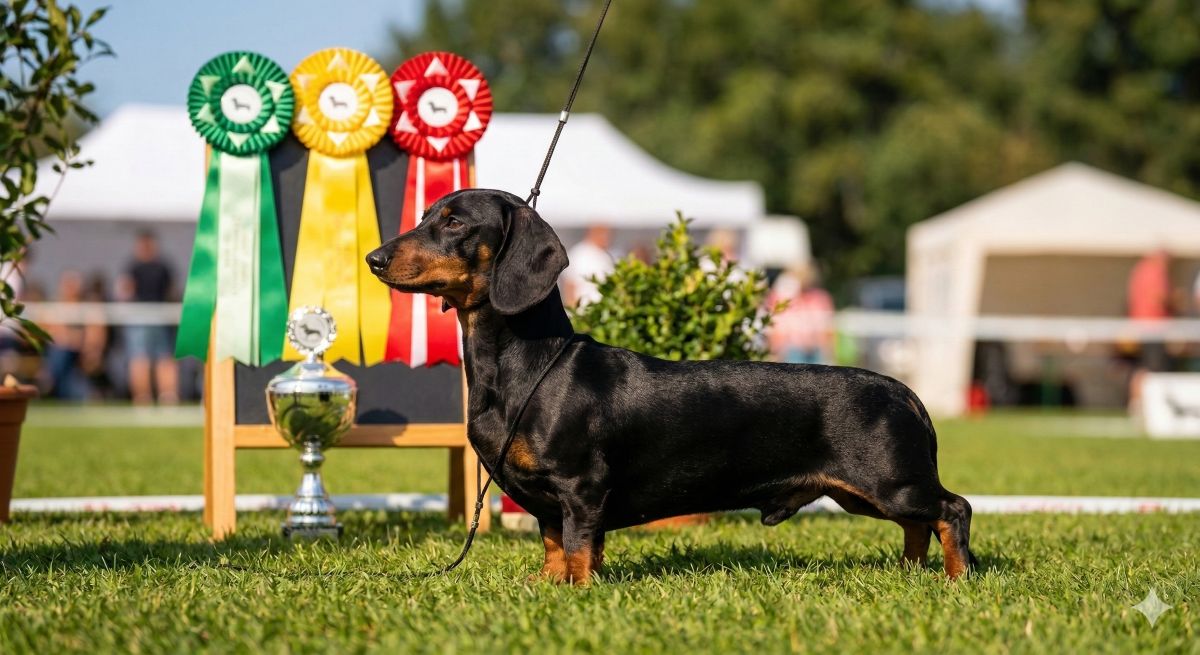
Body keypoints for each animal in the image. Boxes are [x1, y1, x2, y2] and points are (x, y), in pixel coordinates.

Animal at [366, 189, 977, 584]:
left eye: (454, 222)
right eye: (426, 215)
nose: (374, 258)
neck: (530, 364)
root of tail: (904, 392)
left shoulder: (580, 486)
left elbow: (579, 545)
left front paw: (578, 591)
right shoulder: (545, 501)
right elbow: (552, 543)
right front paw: (548, 585)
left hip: (891, 483)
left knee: (953, 510)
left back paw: (956, 578)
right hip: (869, 495)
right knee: (918, 526)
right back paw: (911, 572)